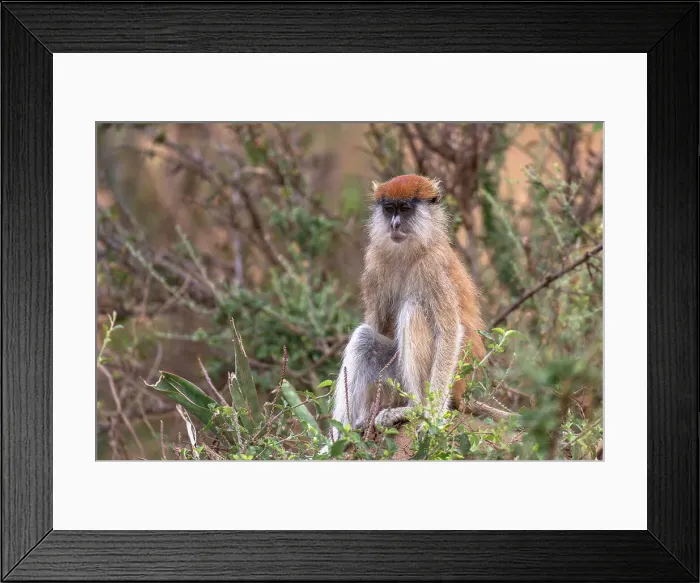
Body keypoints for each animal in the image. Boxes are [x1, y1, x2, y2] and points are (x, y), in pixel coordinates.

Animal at [331, 174, 486, 440]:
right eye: (389, 209)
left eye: (404, 209)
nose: (394, 225)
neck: (410, 250)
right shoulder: (374, 263)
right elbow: (374, 325)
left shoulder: (433, 267)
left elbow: (449, 332)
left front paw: (432, 417)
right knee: (364, 338)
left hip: (451, 383)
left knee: (413, 311)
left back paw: (415, 409)